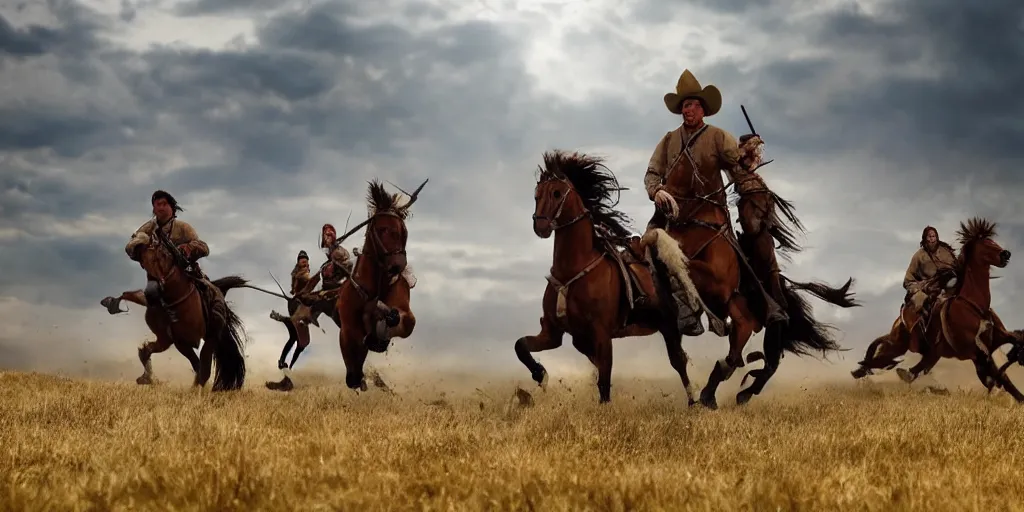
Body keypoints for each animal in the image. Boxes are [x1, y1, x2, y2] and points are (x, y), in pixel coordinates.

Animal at [121, 228, 249, 391]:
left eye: (161, 256)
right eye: (142, 262)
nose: (151, 294)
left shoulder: (191, 340)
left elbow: (202, 368)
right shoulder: (175, 341)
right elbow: (147, 350)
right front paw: (147, 378)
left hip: (211, 336)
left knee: (204, 365)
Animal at [329, 178, 421, 389]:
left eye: (404, 231)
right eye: (382, 229)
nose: (398, 266)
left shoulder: (404, 310)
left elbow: (403, 321)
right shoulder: (348, 330)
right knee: (353, 372)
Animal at [516, 150, 700, 403]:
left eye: (556, 193)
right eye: (537, 195)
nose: (540, 226)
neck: (572, 269)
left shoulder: (602, 334)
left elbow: (604, 381)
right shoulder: (553, 333)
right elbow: (521, 346)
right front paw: (540, 375)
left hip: (669, 327)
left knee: (678, 362)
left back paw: (694, 402)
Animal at [888, 217, 1024, 399]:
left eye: (992, 240)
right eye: (986, 243)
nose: (1006, 254)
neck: (974, 305)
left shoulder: (996, 340)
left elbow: (1016, 342)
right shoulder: (977, 352)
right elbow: (1000, 377)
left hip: (935, 353)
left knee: (918, 368)